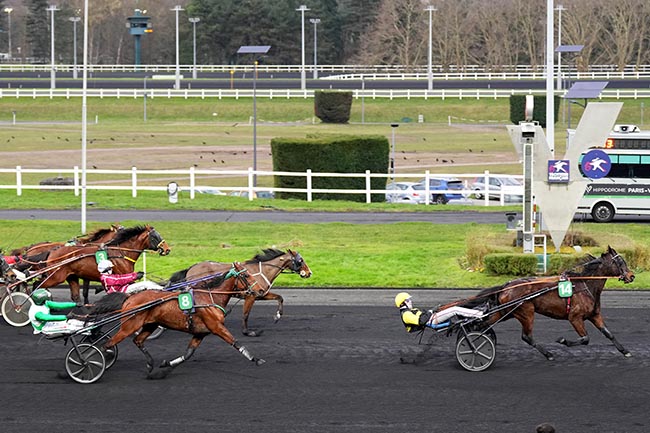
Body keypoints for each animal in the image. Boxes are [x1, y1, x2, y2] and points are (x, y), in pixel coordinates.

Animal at [18, 224, 170, 302]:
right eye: (155, 236)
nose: (167, 249)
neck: (121, 252)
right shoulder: (120, 276)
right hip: (55, 276)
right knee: (37, 285)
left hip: (70, 276)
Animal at [101, 260, 264, 378]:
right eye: (247, 275)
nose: (261, 290)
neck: (210, 297)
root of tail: (129, 297)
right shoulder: (217, 327)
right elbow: (236, 342)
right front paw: (256, 359)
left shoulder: (200, 333)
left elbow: (187, 354)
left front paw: (165, 366)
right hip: (129, 326)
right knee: (107, 344)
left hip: (149, 325)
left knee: (137, 341)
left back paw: (149, 364)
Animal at [166, 248, 310, 336]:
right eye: (300, 260)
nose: (309, 273)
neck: (261, 271)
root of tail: (191, 268)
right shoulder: (251, 296)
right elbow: (246, 314)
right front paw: (247, 332)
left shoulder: (261, 293)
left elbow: (280, 298)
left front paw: (277, 316)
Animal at [460, 245, 632, 360]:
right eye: (620, 262)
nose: (631, 276)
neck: (586, 286)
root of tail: (506, 286)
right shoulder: (575, 317)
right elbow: (585, 339)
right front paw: (562, 340)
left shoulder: (594, 315)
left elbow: (608, 333)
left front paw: (625, 351)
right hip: (526, 312)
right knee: (526, 337)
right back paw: (548, 354)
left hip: (506, 312)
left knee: (483, 325)